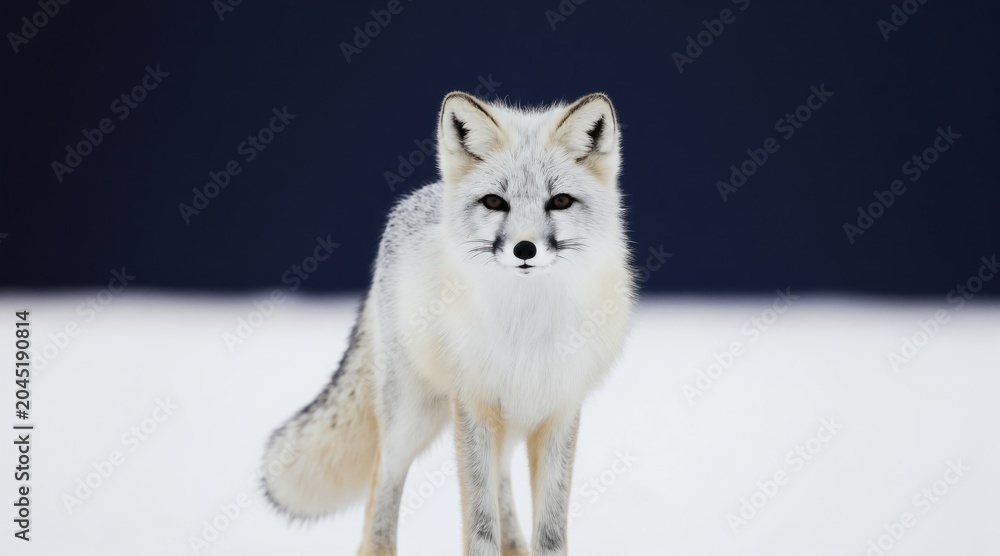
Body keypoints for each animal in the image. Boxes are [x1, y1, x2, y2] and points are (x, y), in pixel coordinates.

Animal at [263, 91, 635, 556]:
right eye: (495, 202)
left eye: (560, 201)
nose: (524, 249)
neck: (527, 330)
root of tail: (419, 197)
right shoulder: (473, 405)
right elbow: (480, 526)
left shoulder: (558, 410)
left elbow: (548, 534)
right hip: (412, 417)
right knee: (381, 487)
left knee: (503, 483)